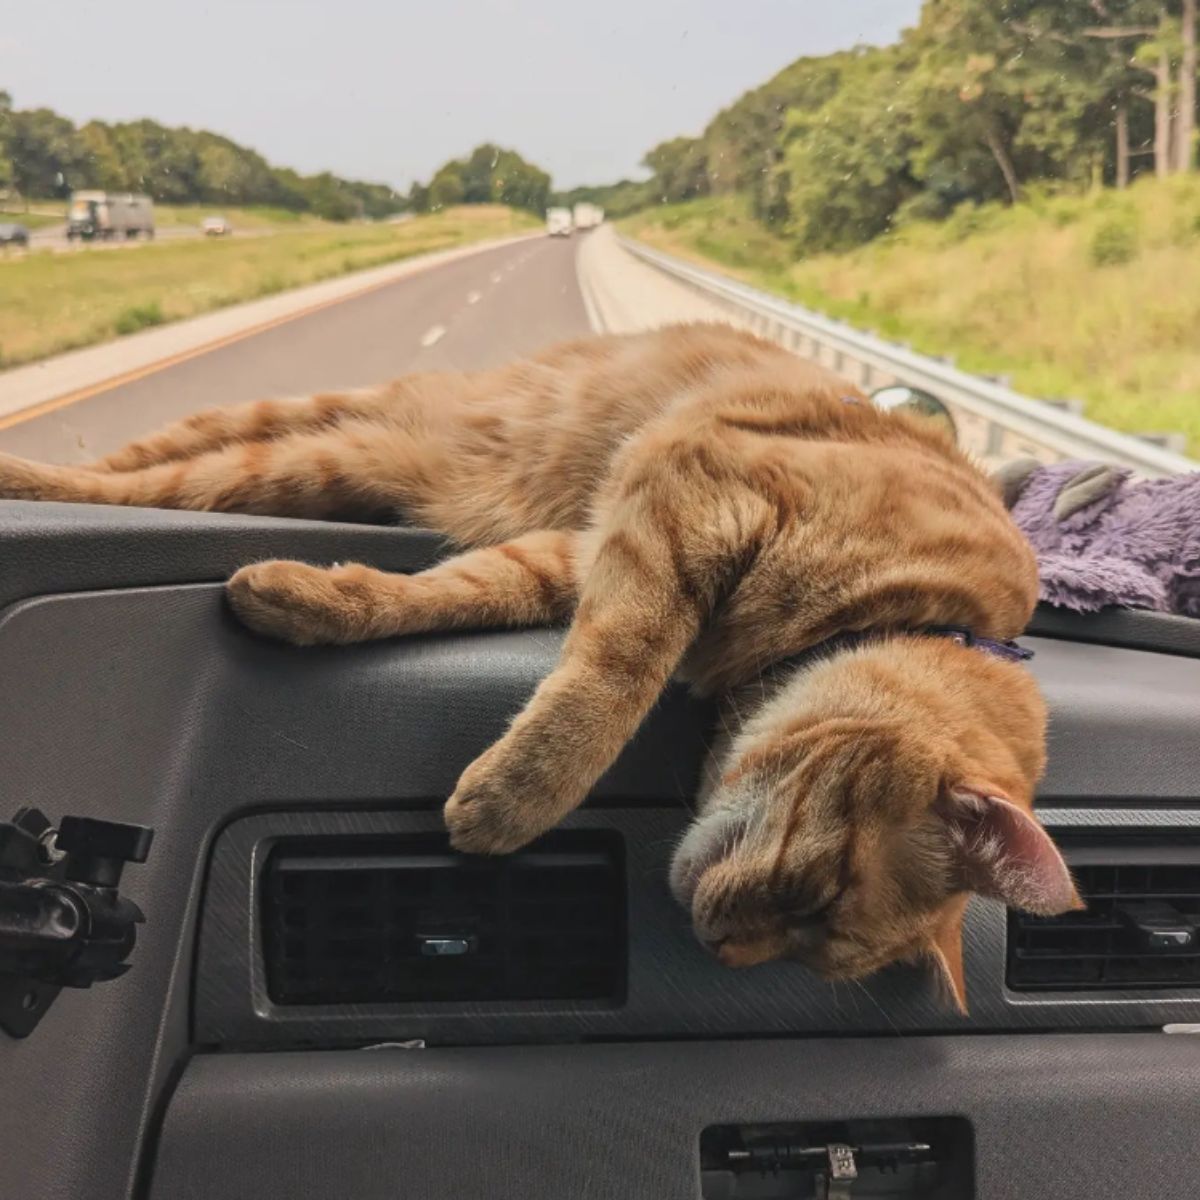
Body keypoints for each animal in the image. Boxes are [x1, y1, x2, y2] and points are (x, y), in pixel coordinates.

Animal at [0, 324, 1080, 1008]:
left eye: (810, 953)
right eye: (813, 900)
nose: (719, 949)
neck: (926, 606)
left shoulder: (586, 544)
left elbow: (465, 590)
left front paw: (313, 599)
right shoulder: (688, 496)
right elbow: (617, 676)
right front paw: (514, 799)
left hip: (346, 459)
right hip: (301, 442)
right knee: (148, 467)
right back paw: (34, 477)